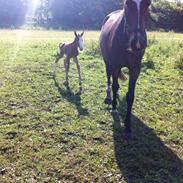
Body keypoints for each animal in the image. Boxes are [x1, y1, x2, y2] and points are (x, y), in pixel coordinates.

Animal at [99, 0, 151, 138]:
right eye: (127, 3)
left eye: (148, 3)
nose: (138, 43)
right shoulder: (114, 64)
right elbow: (114, 85)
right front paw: (113, 108)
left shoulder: (135, 69)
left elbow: (130, 95)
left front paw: (128, 126)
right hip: (108, 62)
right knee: (109, 79)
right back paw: (109, 97)